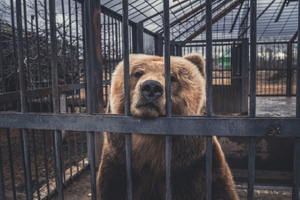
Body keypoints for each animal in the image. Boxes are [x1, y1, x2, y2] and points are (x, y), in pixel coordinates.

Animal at [96, 54, 239, 199]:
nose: (151, 87)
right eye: (137, 73)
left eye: (172, 77)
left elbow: (219, 190)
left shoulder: (197, 169)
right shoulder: (118, 168)